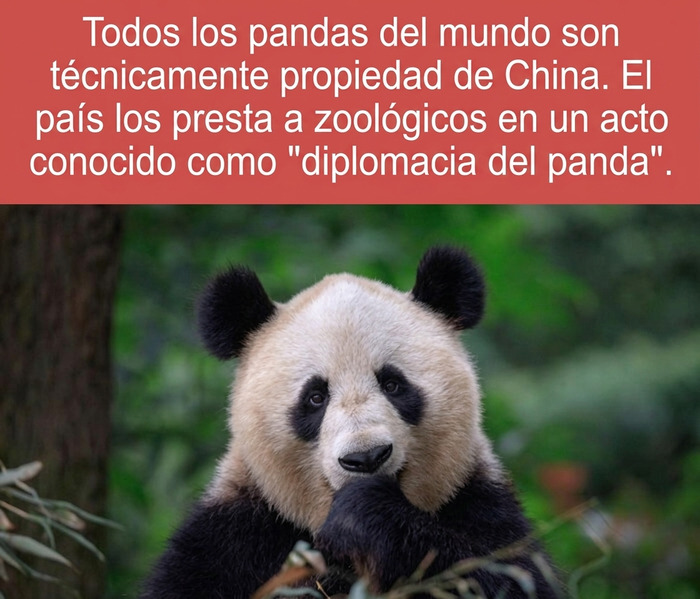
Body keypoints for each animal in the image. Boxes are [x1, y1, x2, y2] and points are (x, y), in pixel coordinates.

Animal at [140, 246, 560, 599]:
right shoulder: (235, 535)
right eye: (315, 397)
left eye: (393, 384)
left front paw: (364, 514)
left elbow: (506, 578)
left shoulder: (481, 504)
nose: (366, 458)